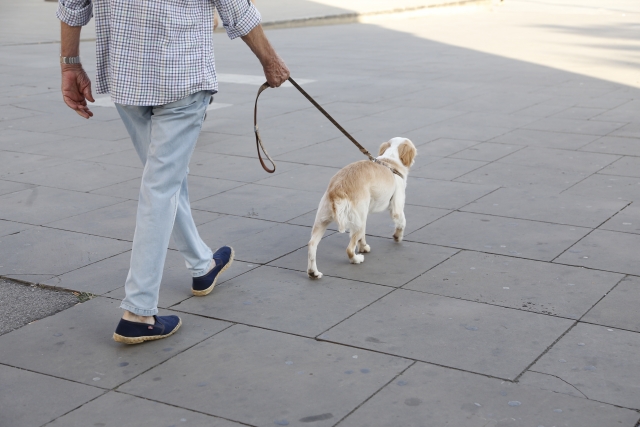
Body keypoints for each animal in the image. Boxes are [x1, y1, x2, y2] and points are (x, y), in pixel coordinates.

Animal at [308, 135, 418, 280]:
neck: (389, 161)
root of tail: (338, 189)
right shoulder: (397, 207)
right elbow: (402, 222)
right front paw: (398, 236)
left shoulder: (363, 215)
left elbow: (362, 237)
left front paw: (363, 246)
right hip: (356, 221)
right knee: (349, 249)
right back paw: (356, 259)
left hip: (326, 220)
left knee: (312, 245)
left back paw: (313, 272)